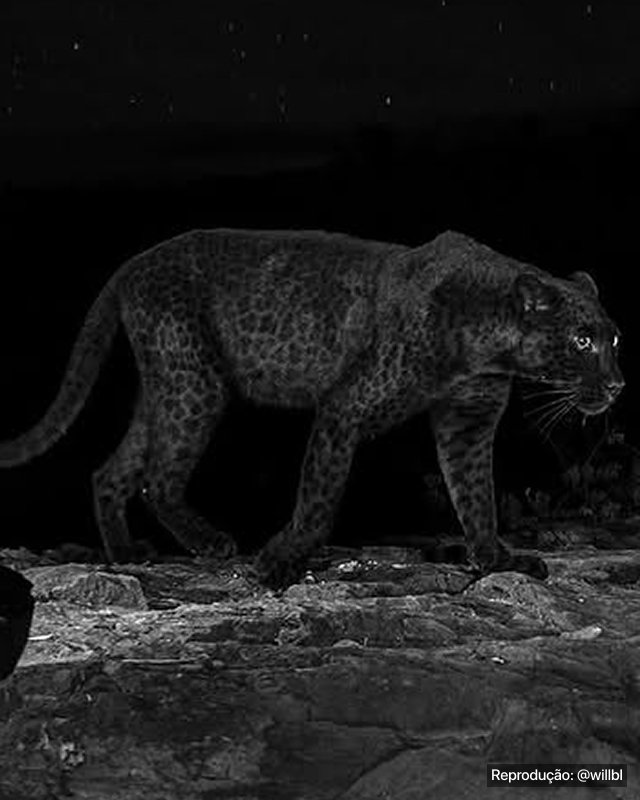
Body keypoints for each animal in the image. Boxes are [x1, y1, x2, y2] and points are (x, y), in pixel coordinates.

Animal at [0, 228, 624, 588]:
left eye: (613, 338)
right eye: (582, 341)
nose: (618, 385)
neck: (486, 345)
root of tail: (131, 265)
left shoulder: (467, 422)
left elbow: (476, 497)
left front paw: (496, 559)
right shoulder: (345, 408)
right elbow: (319, 497)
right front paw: (279, 560)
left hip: (167, 385)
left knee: (113, 469)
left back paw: (127, 554)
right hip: (195, 380)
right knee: (159, 475)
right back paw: (209, 542)